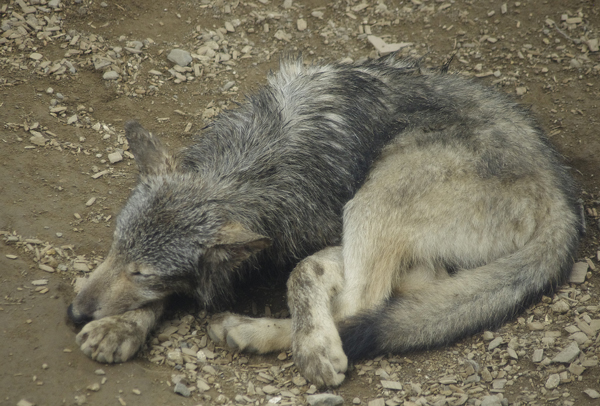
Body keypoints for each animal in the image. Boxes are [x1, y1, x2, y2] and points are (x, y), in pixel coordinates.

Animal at [68, 54, 584, 386]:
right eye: (115, 249)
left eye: (143, 272)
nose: (72, 314)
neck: (254, 165)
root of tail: (563, 194)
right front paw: (121, 327)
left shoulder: (312, 235)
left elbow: (303, 271)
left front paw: (314, 347)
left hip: (374, 199)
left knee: (364, 303)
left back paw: (258, 333)